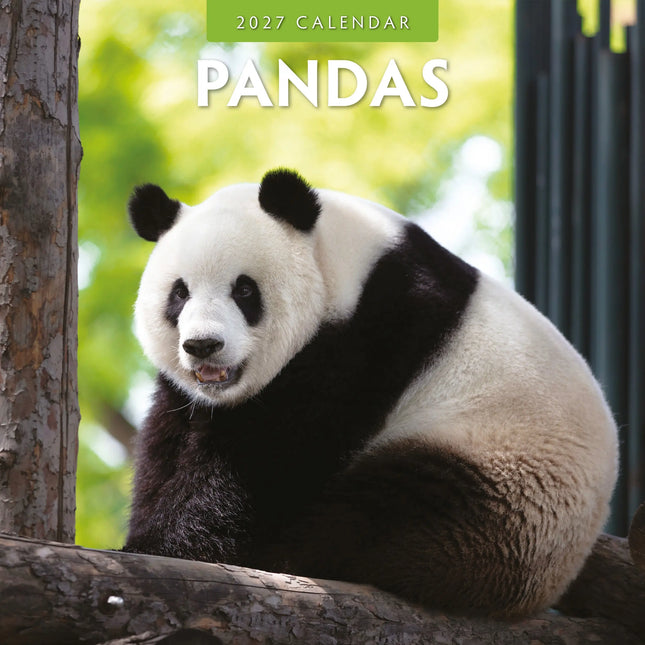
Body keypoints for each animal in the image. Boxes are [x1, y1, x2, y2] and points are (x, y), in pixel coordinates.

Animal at [124, 168, 618, 618]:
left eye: (244, 290)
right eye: (179, 294)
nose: (203, 345)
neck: (339, 259)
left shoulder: (369, 335)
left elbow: (270, 459)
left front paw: (169, 547)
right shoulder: (191, 396)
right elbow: (170, 443)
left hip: (499, 480)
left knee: (384, 517)